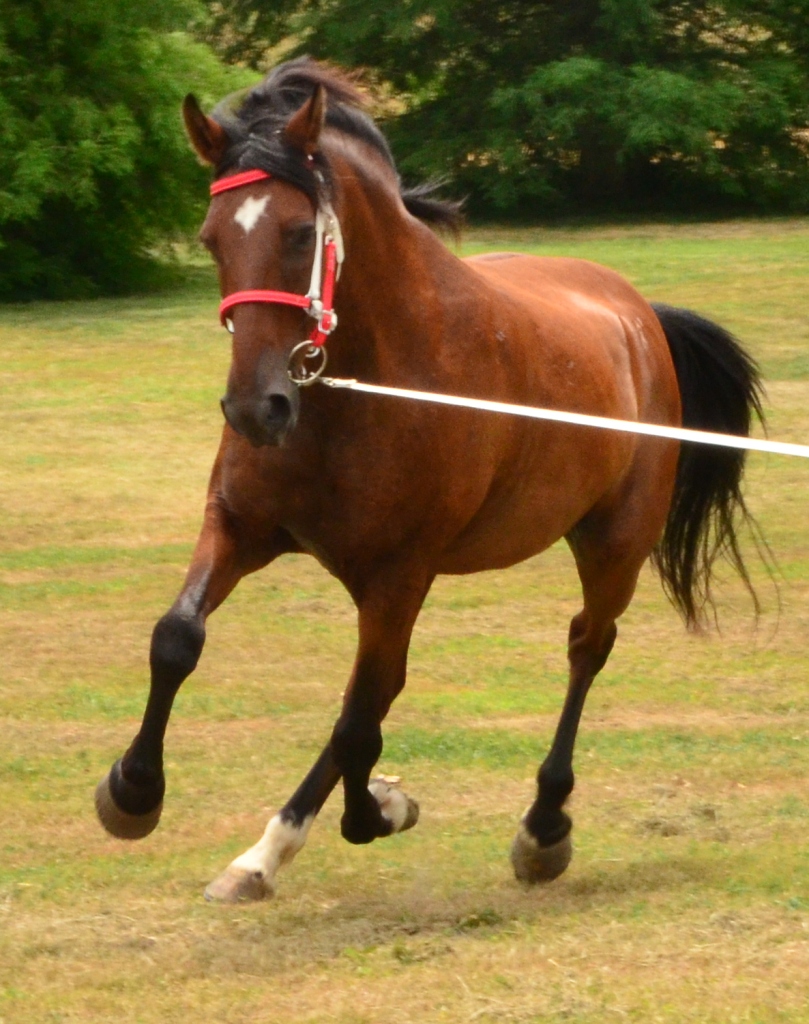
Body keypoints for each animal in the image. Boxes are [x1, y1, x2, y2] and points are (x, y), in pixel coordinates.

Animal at [95, 58, 764, 903]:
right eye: (211, 238)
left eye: (298, 232)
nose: (255, 409)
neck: (362, 384)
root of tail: (636, 313)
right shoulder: (242, 528)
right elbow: (178, 640)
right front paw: (131, 792)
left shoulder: (398, 573)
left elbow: (358, 720)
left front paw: (377, 812)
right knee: (382, 691)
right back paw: (262, 855)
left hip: (611, 546)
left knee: (583, 649)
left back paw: (541, 829)